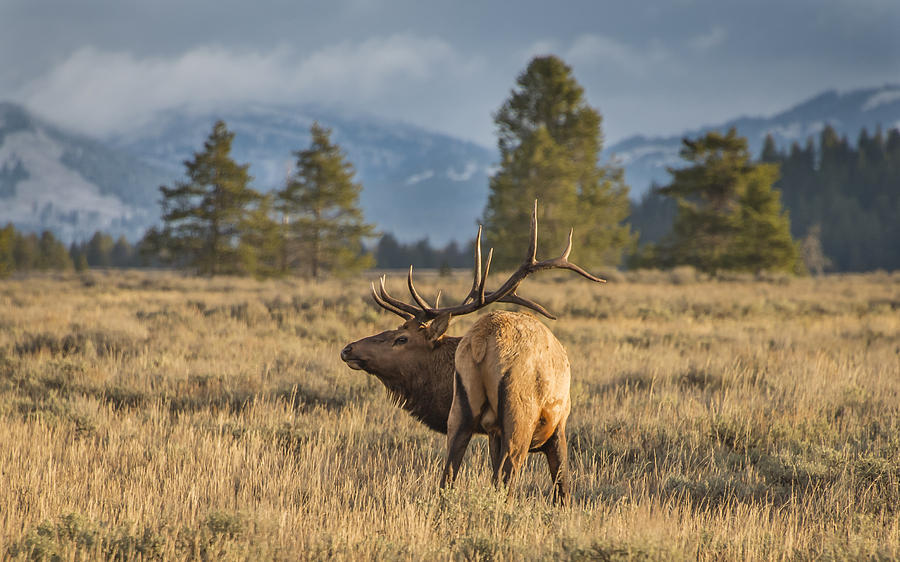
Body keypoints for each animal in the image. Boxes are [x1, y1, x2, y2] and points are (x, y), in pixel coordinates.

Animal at [340, 201, 604, 498]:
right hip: (519, 417)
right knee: (506, 477)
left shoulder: (492, 431)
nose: (348, 349)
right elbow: (563, 488)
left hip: (460, 415)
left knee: (448, 476)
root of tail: (482, 344)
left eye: (401, 338)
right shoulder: (558, 425)